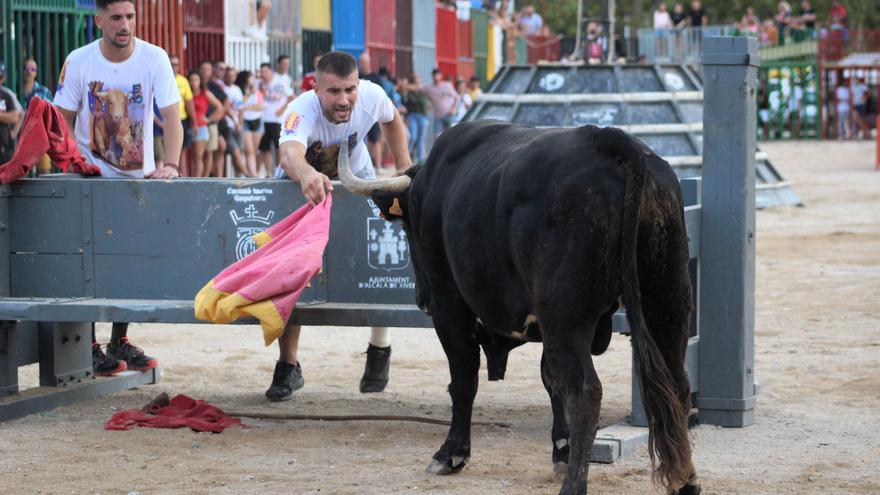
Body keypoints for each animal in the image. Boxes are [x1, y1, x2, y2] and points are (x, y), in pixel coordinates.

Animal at [338, 121, 700, 495]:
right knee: (676, 382)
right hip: (665, 298)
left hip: (566, 317)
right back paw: (685, 480)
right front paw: (561, 448)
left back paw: (574, 486)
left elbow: (463, 378)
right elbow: (550, 381)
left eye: (408, 227)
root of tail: (612, 140)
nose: (421, 299)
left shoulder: (450, 305)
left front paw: (451, 453)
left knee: (586, 391)